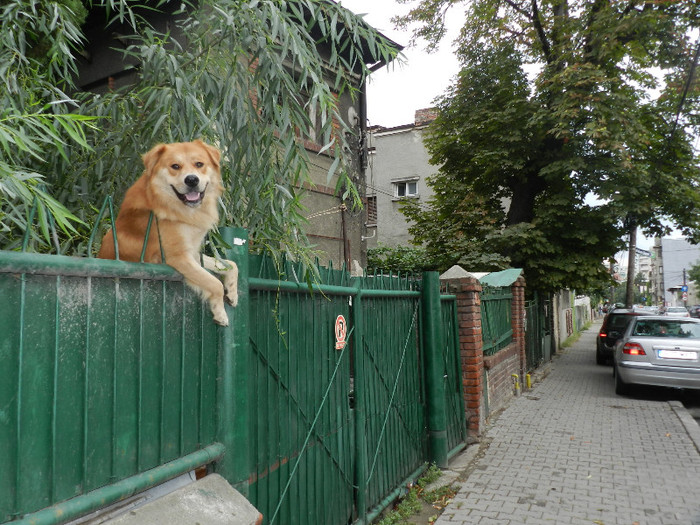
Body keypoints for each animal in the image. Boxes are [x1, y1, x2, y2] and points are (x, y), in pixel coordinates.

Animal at [97, 141, 238, 326]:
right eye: (175, 166)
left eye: (199, 164)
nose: (191, 179)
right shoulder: (178, 257)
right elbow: (214, 283)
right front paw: (220, 312)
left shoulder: (192, 253)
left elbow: (231, 265)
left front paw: (233, 292)